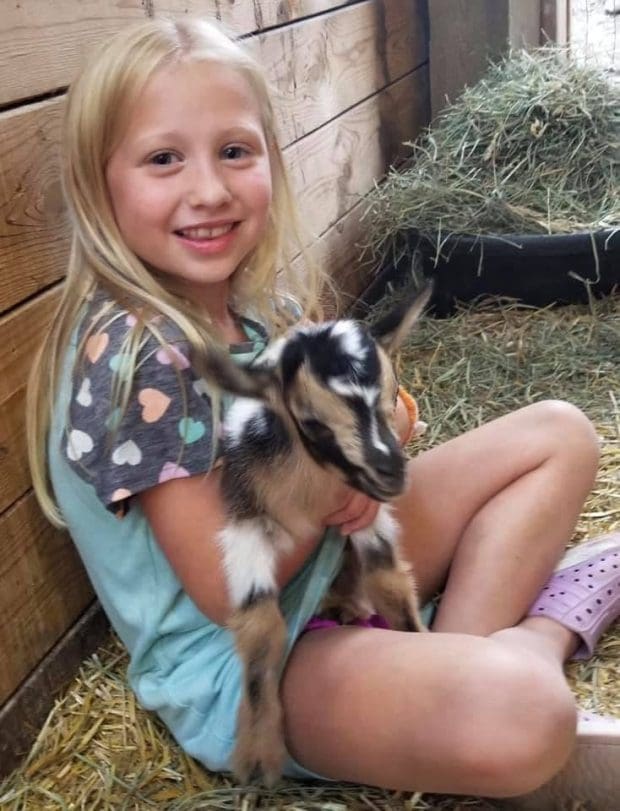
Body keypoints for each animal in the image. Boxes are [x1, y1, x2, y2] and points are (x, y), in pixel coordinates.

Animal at [204, 284, 432, 786]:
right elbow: (261, 625)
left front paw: (422, 642)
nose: (391, 472)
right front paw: (257, 753)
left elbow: (390, 582)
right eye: (311, 422)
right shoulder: (244, 519)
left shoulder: (365, 516)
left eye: (392, 396)